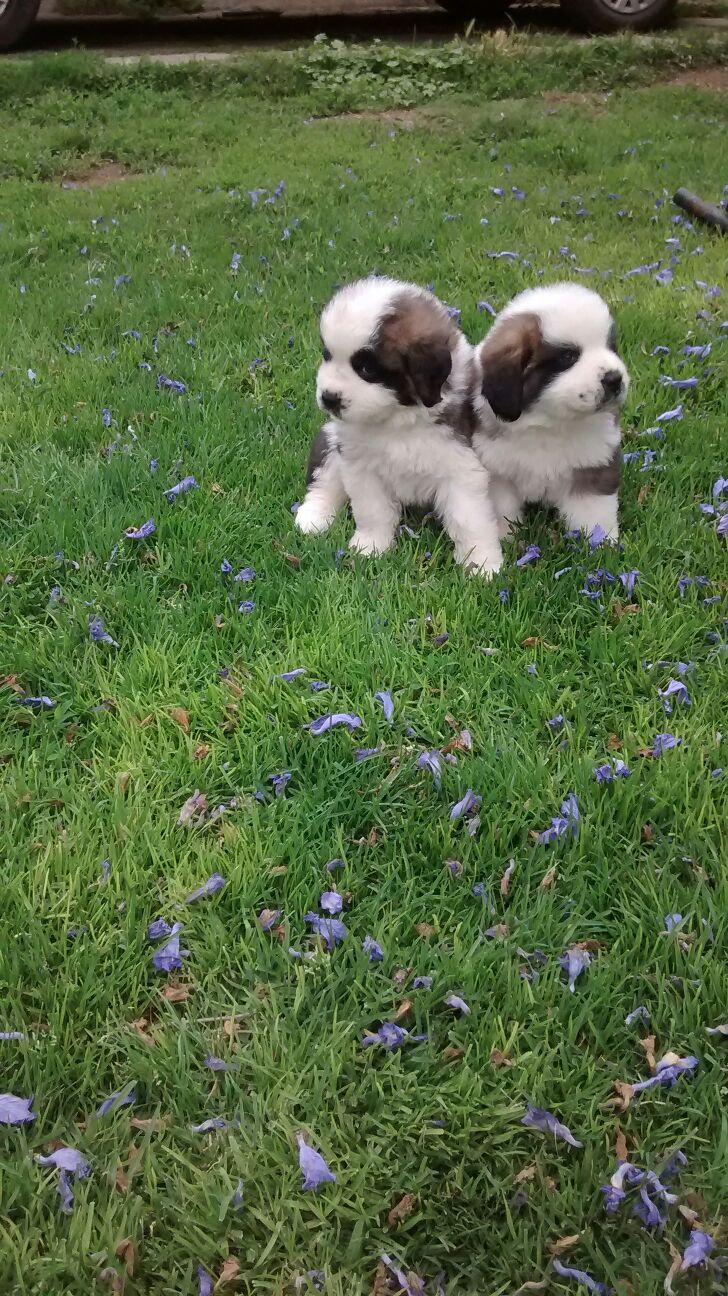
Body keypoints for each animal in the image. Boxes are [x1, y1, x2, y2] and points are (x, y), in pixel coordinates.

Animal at [291, 278, 502, 578]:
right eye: (327, 355)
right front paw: (370, 546)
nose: (329, 397)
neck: (398, 419)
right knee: (323, 481)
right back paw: (314, 517)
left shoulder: (462, 470)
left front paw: (481, 564)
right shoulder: (361, 466)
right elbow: (372, 510)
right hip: (331, 439)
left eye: (367, 369)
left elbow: (469, 519)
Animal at [474, 283, 626, 541]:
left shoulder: (593, 463)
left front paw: (599, 541)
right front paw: (505, 536)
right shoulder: (497, 470)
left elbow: (592, 510)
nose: (615, 379)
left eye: (611, 347)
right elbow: (501, 507)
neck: (549, 423)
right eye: (568, 356)